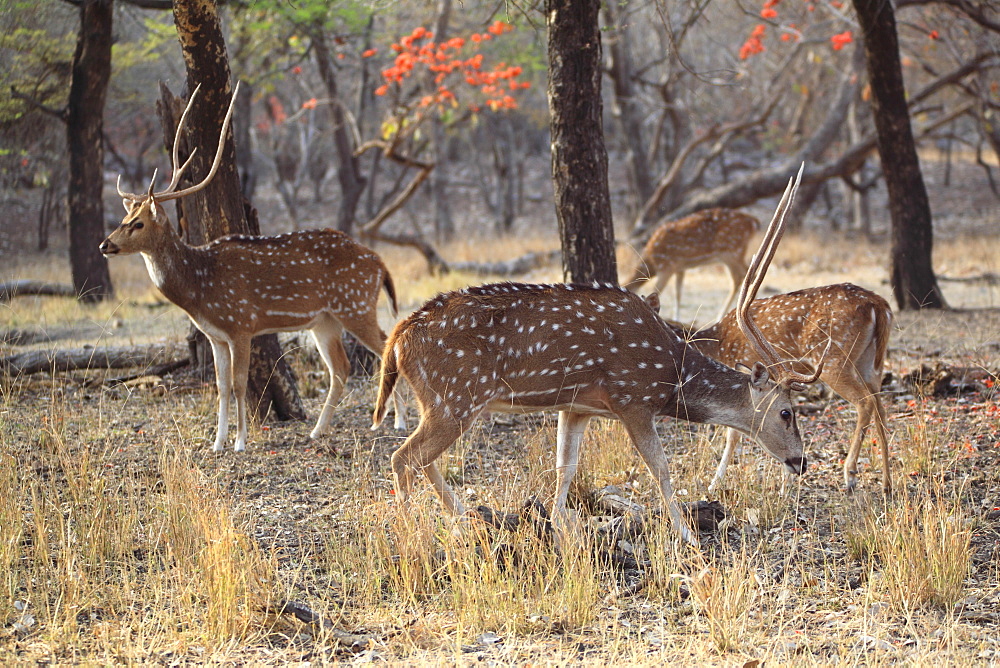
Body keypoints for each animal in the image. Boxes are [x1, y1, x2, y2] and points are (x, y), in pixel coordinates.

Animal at [96, 81, 402, 452]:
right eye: (124, 218)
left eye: (138, 223)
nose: (105, 244)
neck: (199, 288)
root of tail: (380, 263)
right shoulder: (215, 336)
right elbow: (220, 385)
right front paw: (217, 443)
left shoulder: (241, 324)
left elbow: (240, 384)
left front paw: (240, 441)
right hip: (324, 319)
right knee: (340, 368)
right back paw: (318, 430)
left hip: (355, 304)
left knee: (385, 346)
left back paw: (397, 422)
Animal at [620, 209, 760, 324]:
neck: (651, 260)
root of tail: (754, 222)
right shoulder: (679, 268)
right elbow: (678, 293)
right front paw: (676, 318)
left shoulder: (667, 266)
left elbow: (657, 290)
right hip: (731, 255)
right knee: (740, 278)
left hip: (732, 252)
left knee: (745, 276)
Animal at [672, 280, 892, 490]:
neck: (717, 346)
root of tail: (879, 304)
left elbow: (735, 432)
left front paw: (714, 484)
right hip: (870, 363)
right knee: (880, 407)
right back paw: (886, 484)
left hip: (833, 361)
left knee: (865, 401)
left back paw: (850, 475)